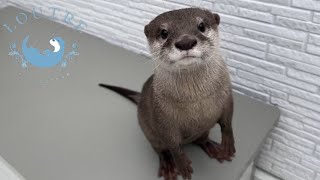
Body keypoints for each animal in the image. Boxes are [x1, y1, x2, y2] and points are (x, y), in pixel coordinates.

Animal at [99, 7, 236, 179]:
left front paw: (228, 144)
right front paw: (182, 164)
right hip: (149, 132)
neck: (196, 99)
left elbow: (227, 121)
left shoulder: (227, 95)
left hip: (204, 129)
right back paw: (169, 166)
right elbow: (172, 143)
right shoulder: (162, 115)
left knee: (202, 139)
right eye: (164, 32)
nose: (185, 42)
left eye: (202, 26)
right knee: (161, 149)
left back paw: (214, 148)